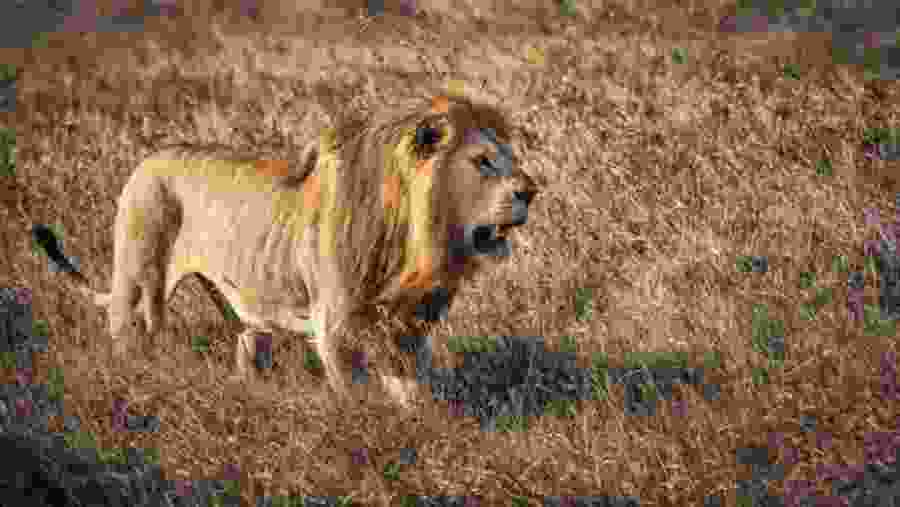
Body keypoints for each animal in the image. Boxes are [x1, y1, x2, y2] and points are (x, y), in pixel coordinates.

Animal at [46, 93, 539, 407]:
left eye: (511, 158)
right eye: (482, 162)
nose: (531, 192)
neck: (419, 242)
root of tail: (145, 161)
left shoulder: (410, 326)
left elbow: (412, 391)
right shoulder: (336, 326)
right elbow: (357, 396)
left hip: (244, 313)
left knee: (248, 350)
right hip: (138, 284)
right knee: (129, 336)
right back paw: (132, 385)